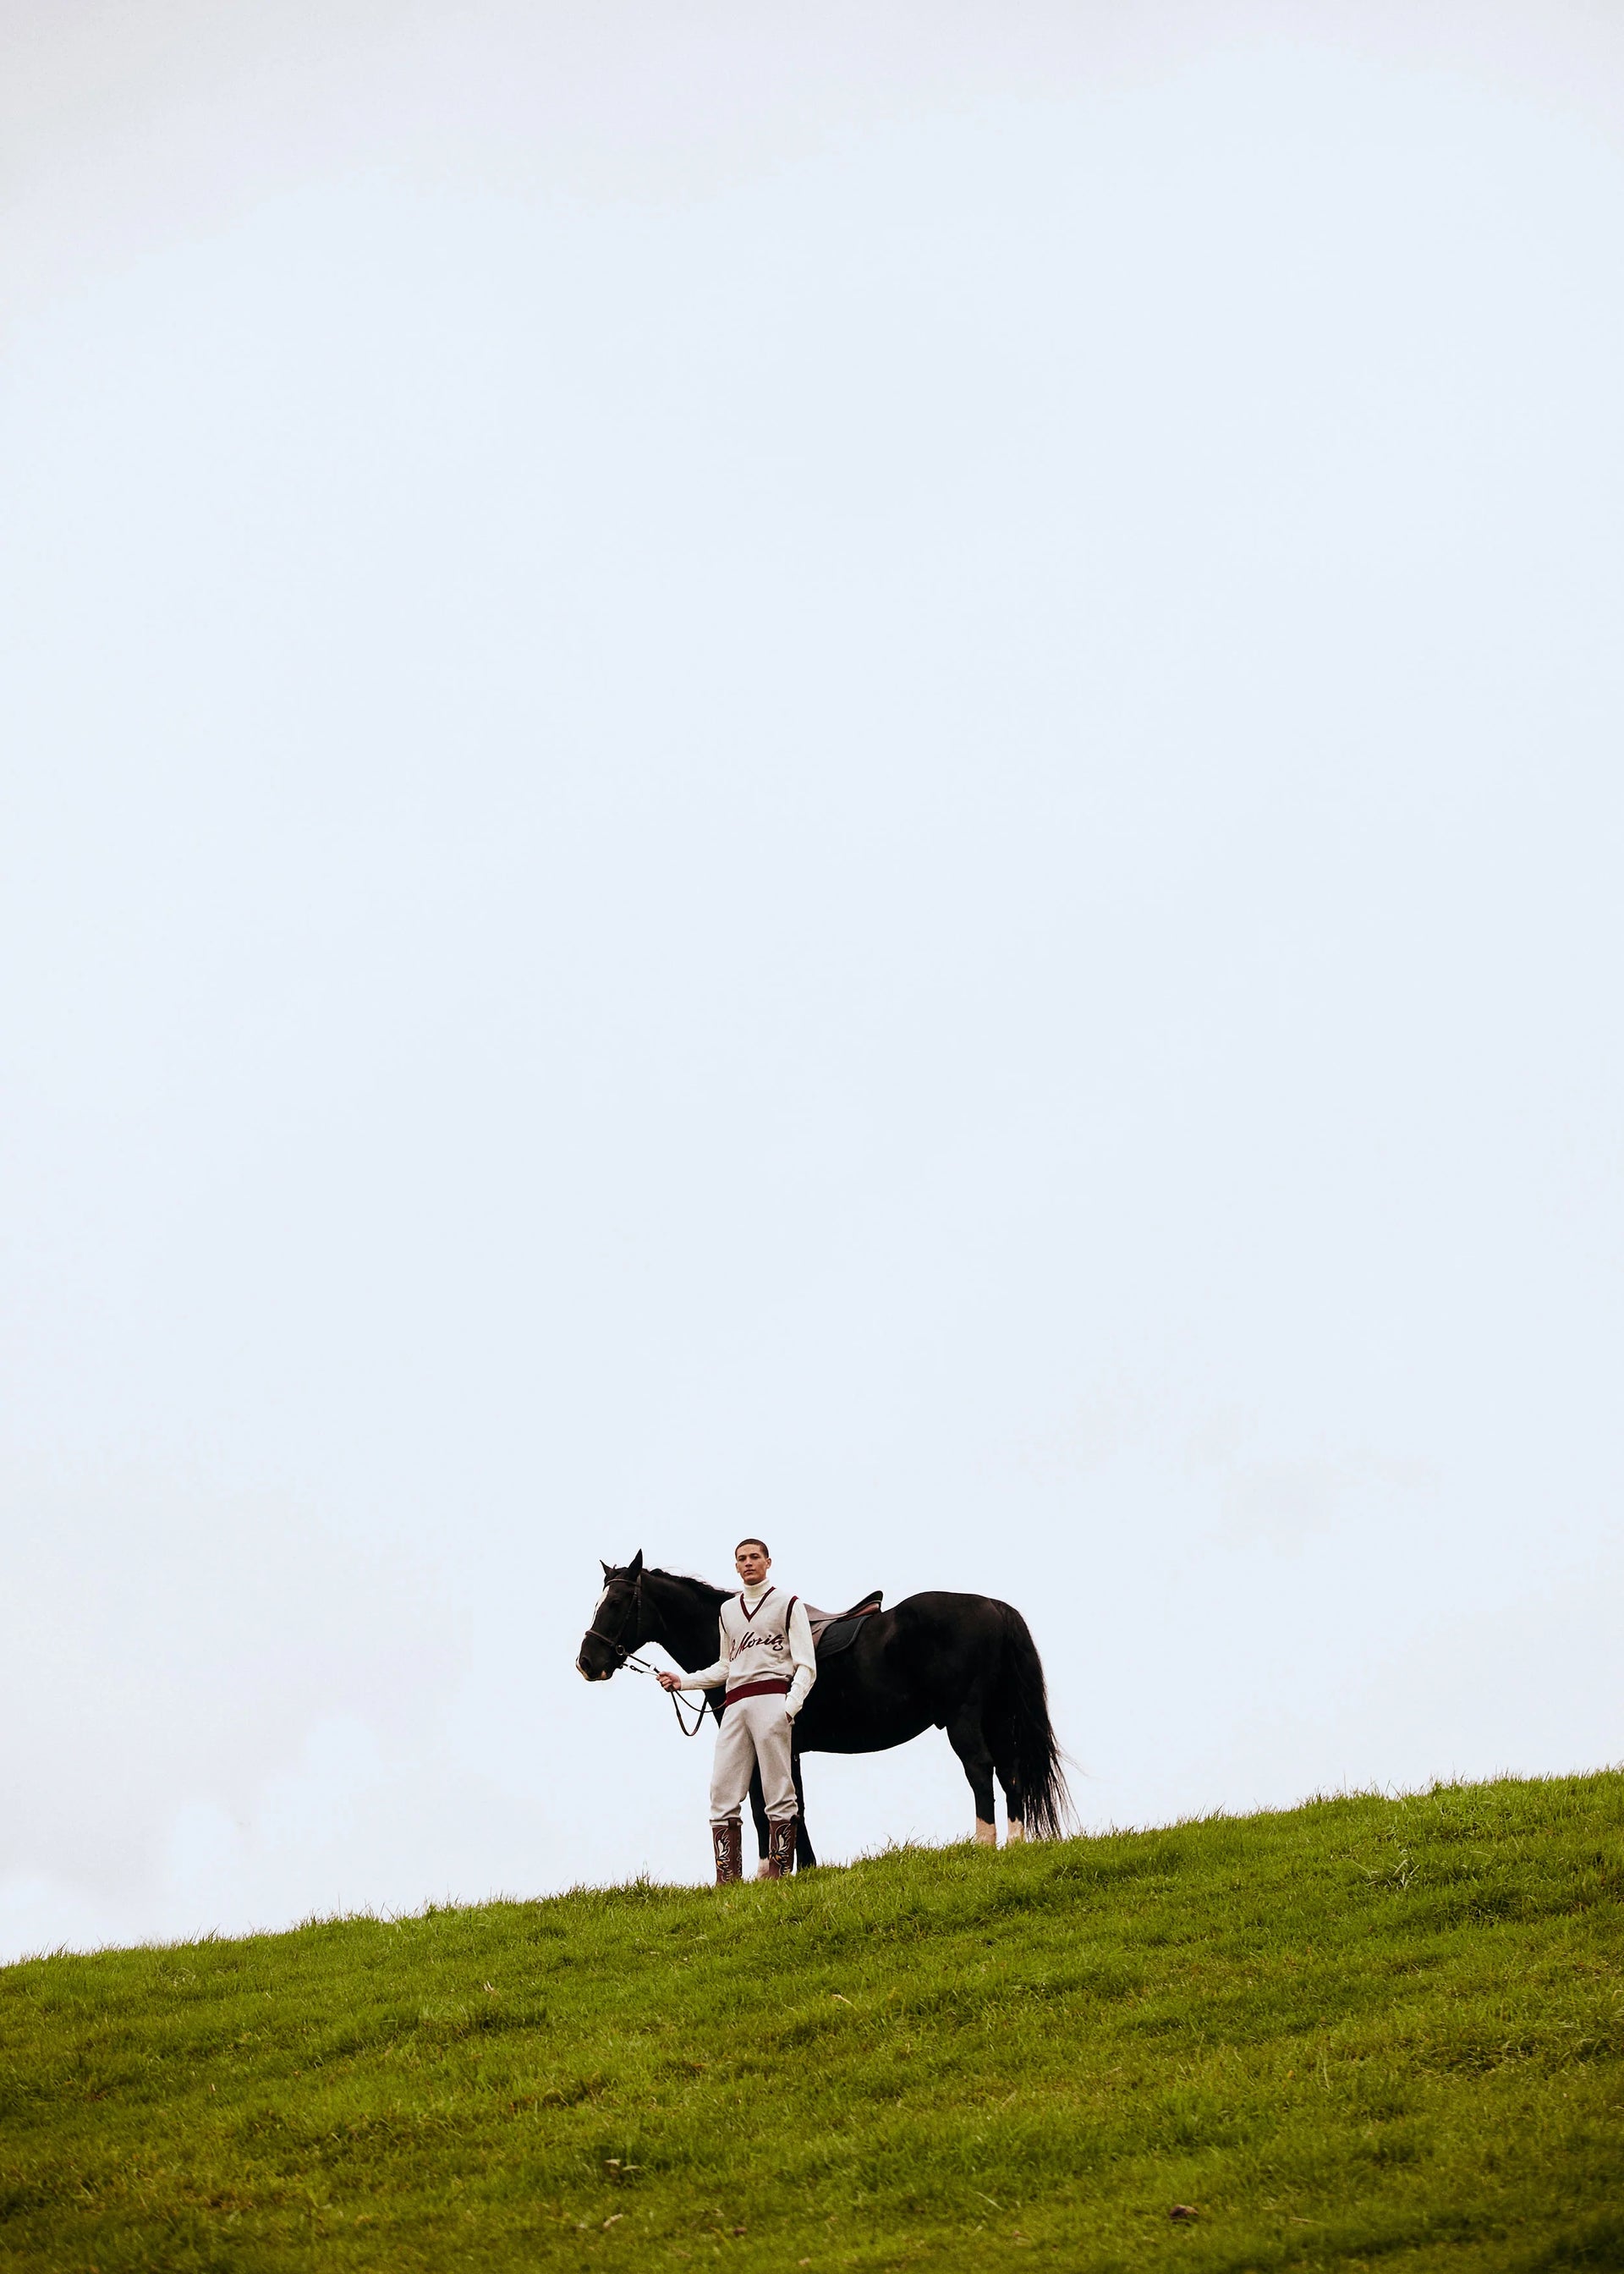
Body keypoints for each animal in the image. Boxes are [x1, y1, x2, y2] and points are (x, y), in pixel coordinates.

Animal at [575, 1555, 1068, 1873]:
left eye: (617, 1603)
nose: (586, 1661)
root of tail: (994, 1608)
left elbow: (766, 1805)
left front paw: (772, 1872)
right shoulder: (787, 1748)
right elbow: (792, 1804)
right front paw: (805, 1868)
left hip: (965, 1719)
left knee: (980, 1770)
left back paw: (984, 1845)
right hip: (999, 1719)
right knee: (1011, 1772)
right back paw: (1016, 1843)